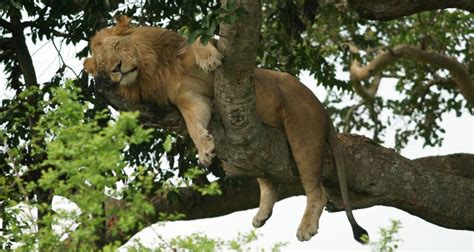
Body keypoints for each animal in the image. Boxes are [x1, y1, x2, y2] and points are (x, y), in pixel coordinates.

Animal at [83, 16, 368, 244]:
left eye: (118, 47)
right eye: (104, 64)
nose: (117, 69)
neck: (152, 68)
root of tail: (321, 107)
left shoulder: (206, 48)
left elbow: (199, 38)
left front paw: (209, 58)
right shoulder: (190, 99)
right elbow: (194, 125)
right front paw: (205, 150)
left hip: (302, 134)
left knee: (317, 190)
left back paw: (307, 226)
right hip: (256, 148)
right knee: (269, 180)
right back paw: (262, 214)